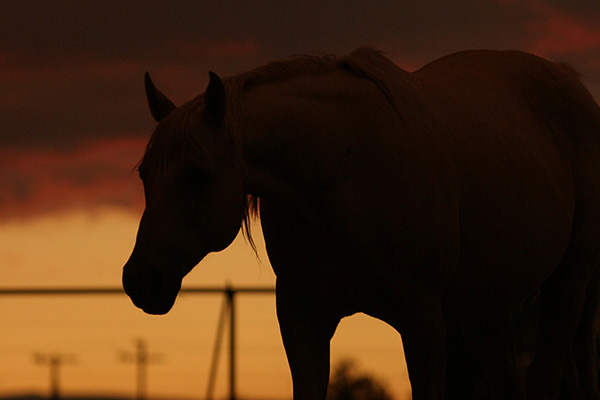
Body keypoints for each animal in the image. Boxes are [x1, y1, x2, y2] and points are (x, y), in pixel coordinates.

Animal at [122, 47, 600, 400]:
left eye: (198, 173)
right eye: (144, 174)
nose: (140, 279)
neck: (339, 178)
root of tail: (569, 79)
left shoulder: (423, 319)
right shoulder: (302, 317)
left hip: (569, 282)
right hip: (486, 307)